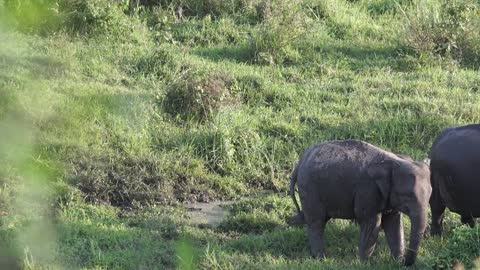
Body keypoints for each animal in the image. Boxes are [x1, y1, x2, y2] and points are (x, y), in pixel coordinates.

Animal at [290, 140, 434, 266]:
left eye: (430, 196)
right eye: (408, 196)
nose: (405, 262)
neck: (393, 160)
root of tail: (300, 162)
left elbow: (393, 223)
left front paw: (396, 262)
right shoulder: (367, 190)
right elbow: (372, 223)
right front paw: (364, 263)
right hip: (309, 188)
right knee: (316, 222)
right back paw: (321, 259)